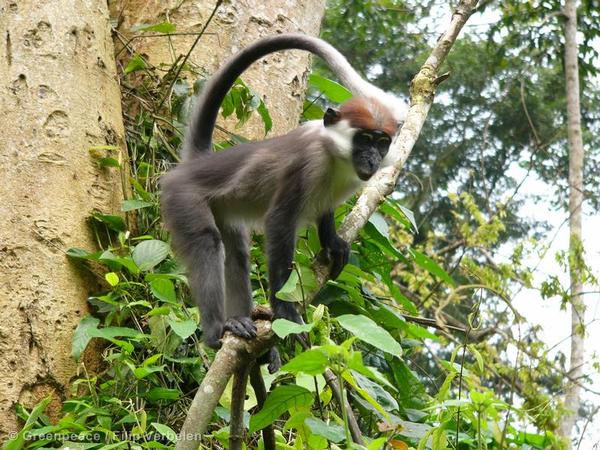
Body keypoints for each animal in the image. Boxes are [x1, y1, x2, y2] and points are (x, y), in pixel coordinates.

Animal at [162, 34, 406, 366]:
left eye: (382, 143)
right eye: (365, 139)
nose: (371, 159)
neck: (335, 157)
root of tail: (196, 164)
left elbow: (325, 211)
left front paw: (334, 243)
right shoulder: (306, 165)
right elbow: (279, 223)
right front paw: (285, 312)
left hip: (223, 208)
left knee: (236, 254)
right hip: (183, 196)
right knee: (206, 242)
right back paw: (216, 330)